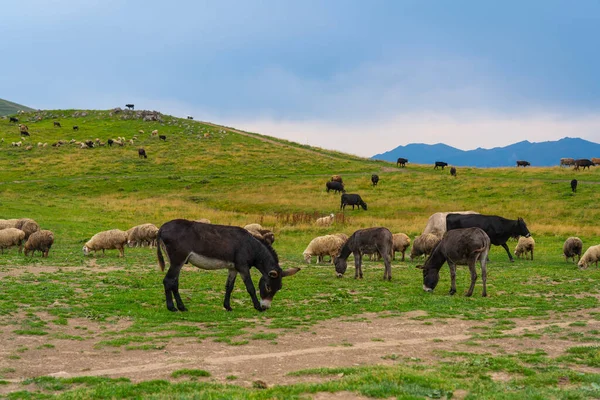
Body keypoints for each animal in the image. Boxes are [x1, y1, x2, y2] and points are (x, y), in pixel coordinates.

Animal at [157, 222, 300, 312]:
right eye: (268, 286)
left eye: (279, 288)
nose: (265, 307)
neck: (251, 247)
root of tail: (162, 228)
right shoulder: (243, 267)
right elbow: (250, 287)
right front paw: (257, 308)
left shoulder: (233, 268)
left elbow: (229, 287)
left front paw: (228, 307)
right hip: (178, 260)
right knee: (168, 281)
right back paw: (172, 308)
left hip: (177, 262)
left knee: (174, 283)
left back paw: (182, 307)